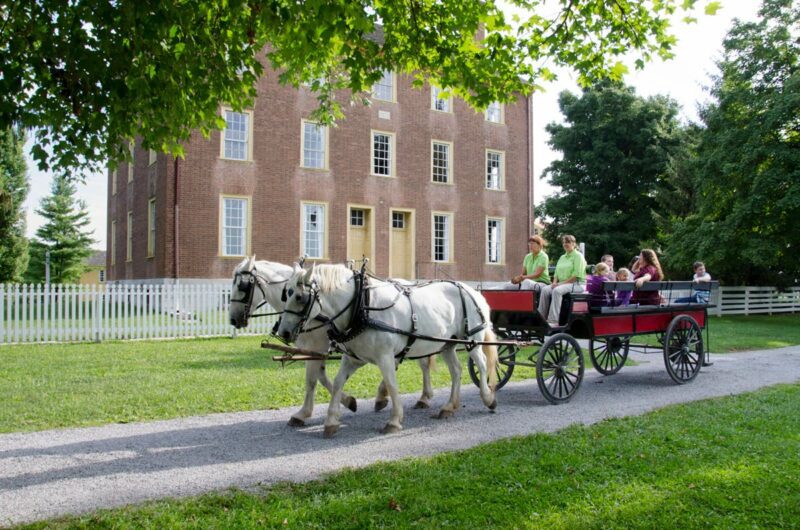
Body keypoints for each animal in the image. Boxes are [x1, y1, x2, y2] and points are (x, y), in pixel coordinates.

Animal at [228, 256, 434, 424]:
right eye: (286, 294)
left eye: (241, 286)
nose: (232, 319)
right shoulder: (313, 350)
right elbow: (319, 377)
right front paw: (345, 401)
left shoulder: (318, 347)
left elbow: (313, 379)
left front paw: (307, 412)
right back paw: (385, 396)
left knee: (423, 363)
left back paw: (423, 397)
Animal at [278, 262, 496, 436]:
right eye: (286, 295)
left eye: (299, 297)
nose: (283, 332)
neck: (362, 305)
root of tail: (473, 291)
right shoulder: (354, 358)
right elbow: (338, 382)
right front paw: (332, 420)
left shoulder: (385, 357)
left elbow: (392, 384)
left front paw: (394, 420)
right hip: (446, 344)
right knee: (456, 371)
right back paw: (449, 407)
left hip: (472, 338)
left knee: (482, 363)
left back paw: (488, 398)